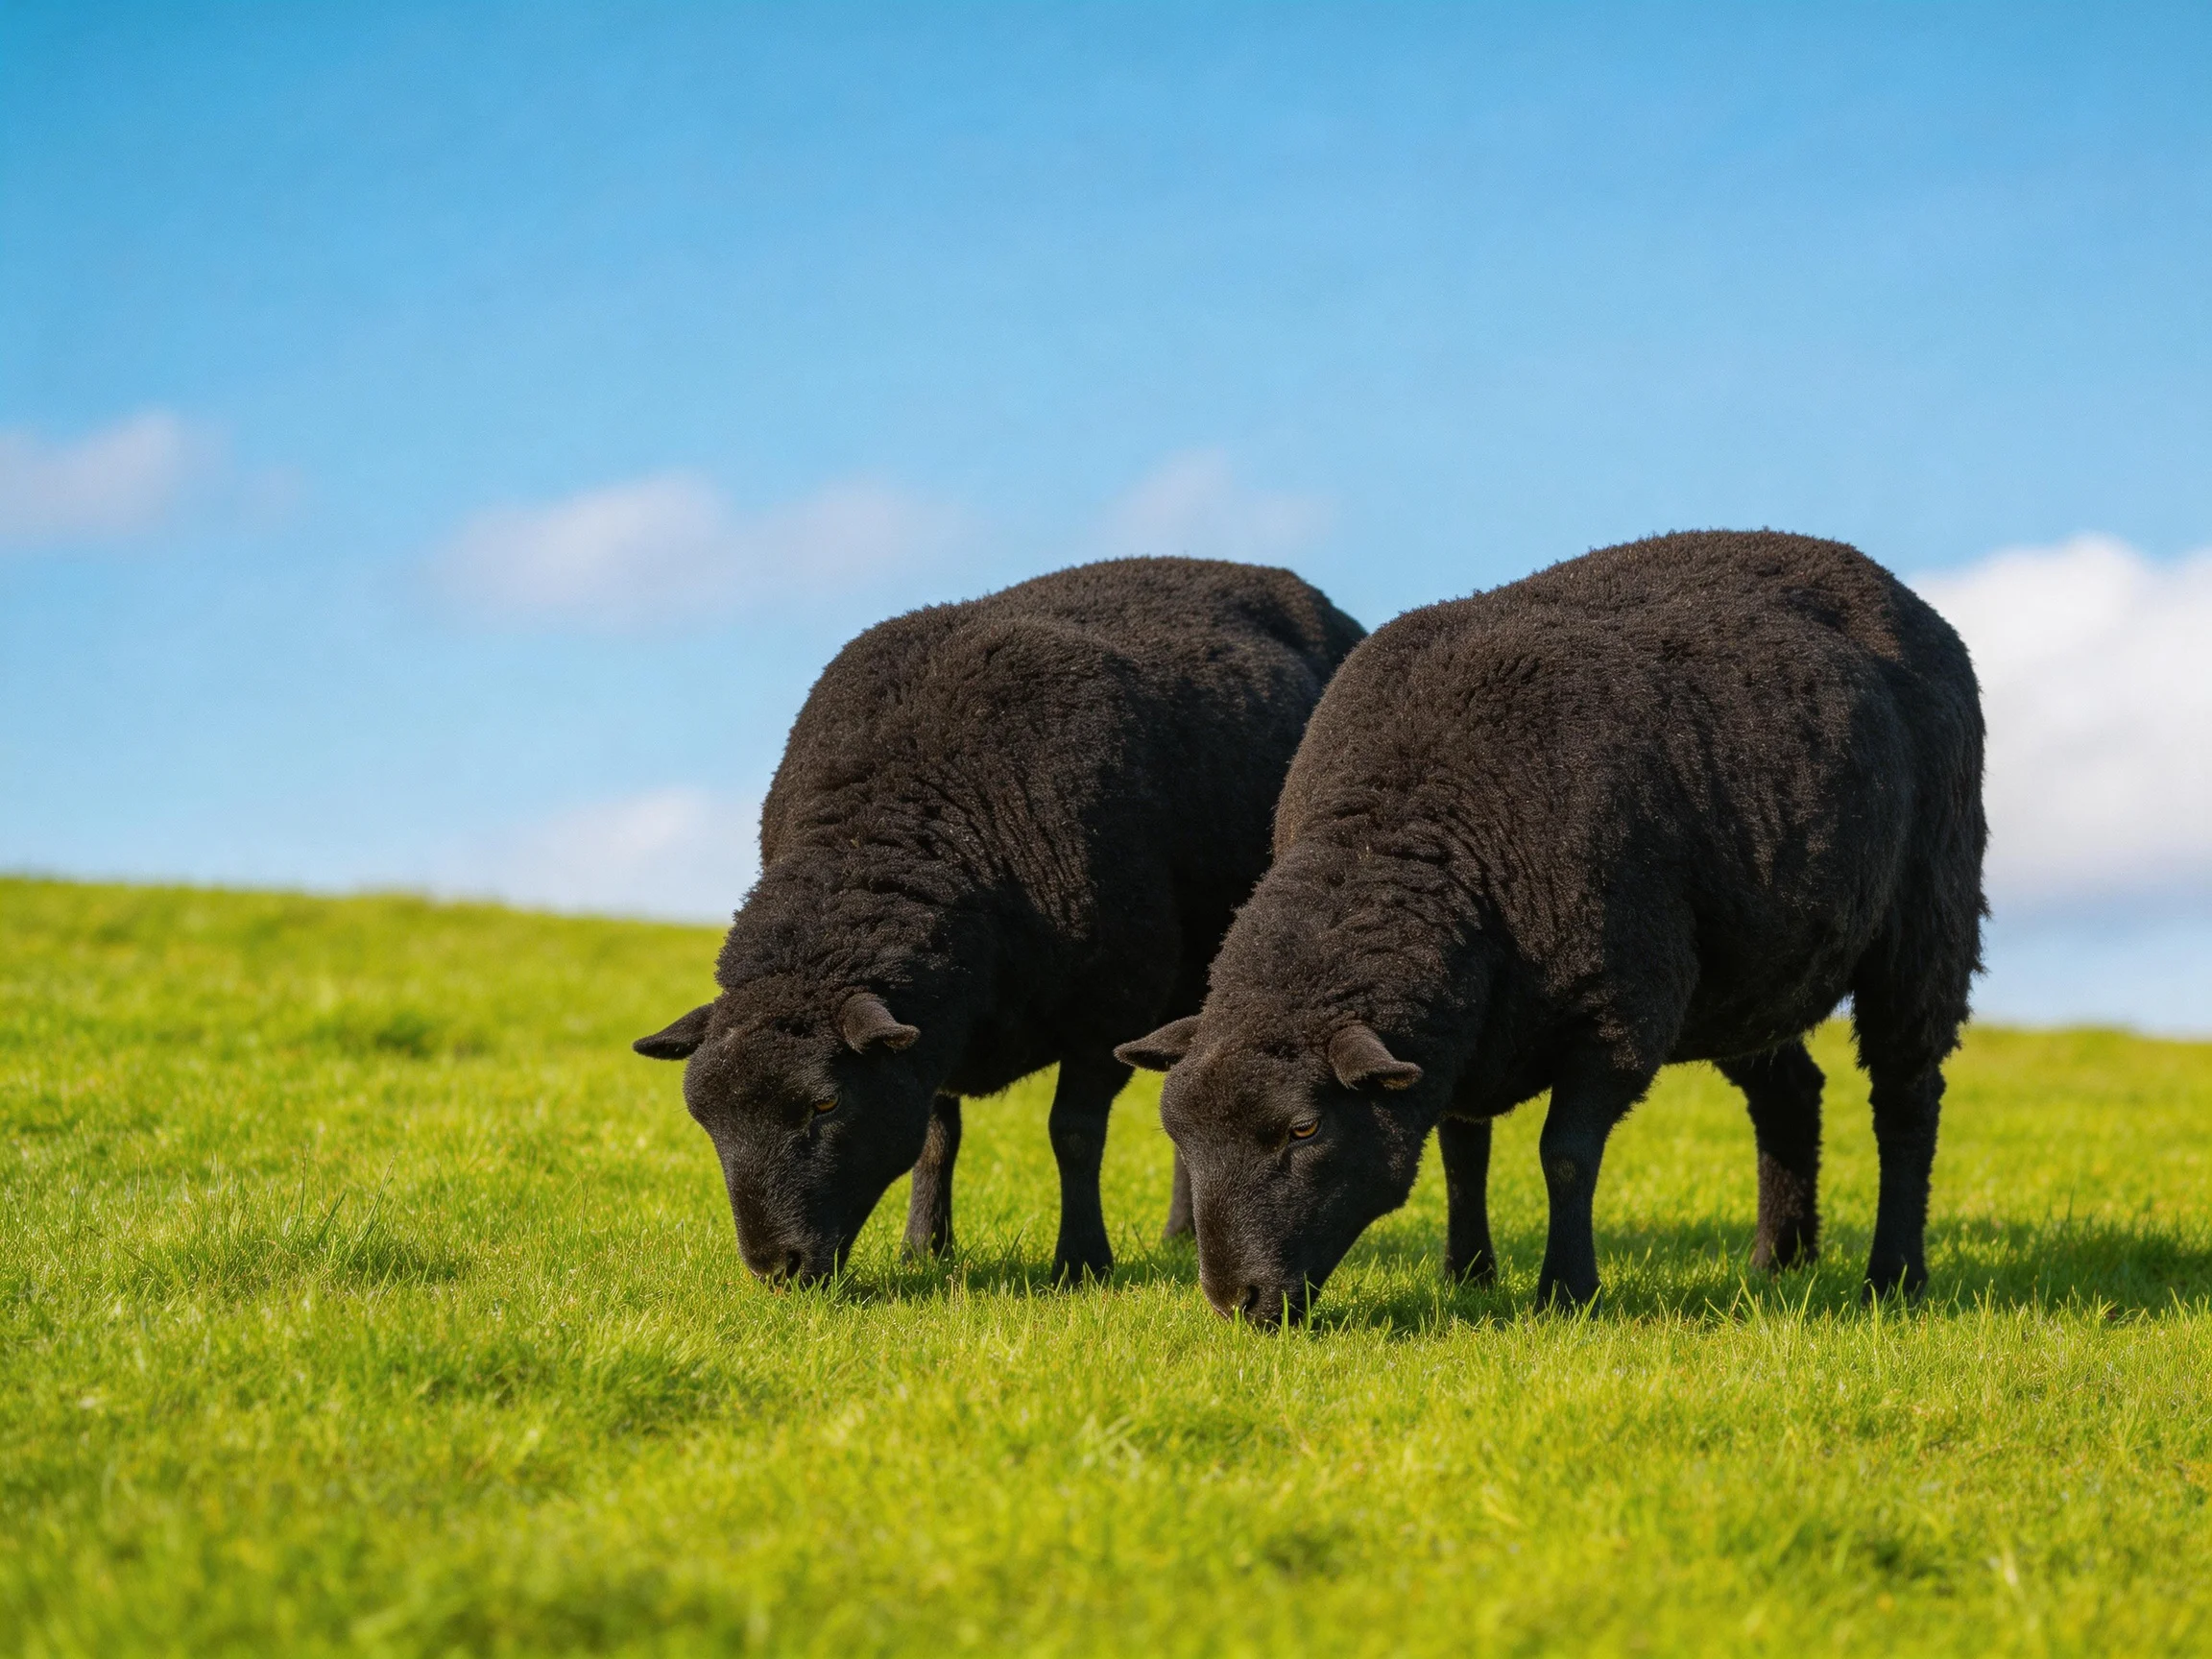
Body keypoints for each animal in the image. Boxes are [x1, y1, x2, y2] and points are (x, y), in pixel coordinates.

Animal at [636, 556, 1365, 1285]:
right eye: (706, 1120)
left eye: (826, 1103)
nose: (777, 1269)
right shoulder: (926, 1030)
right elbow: (935, 1137)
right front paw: (923, 1247)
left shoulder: (1112, 1007)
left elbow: (1074, 1134)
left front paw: (1081, 1263)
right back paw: (1182, 1236)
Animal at [1118, 530, 1985, 1323]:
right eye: (1178, 1135)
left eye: (1303, 1130)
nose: (1237, 1302)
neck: (1413, 829)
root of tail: (1883, 581)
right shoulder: (1463, 1027)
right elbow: (1462, 1151)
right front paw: (1467, 1274)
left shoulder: (1620, 1012)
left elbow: (1563, 1157)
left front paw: (1566, 1291)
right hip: (1749, 968)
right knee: (1792, 1095)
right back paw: (1781, 1259)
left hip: (1928, 916)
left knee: (1907, 1102)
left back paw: (1895, 1278)